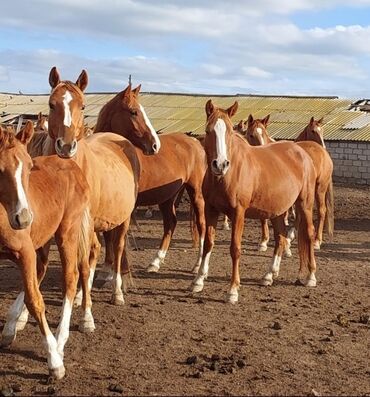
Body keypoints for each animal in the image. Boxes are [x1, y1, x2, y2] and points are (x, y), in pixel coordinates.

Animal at [0, 120, 92, 378]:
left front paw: (54, 361)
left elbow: (36, 301)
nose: (24, 218)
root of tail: (72, 165)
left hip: (66, 233)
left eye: (30, 167)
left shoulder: (25, 252)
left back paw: (60, 342)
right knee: (40, 272)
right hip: (42, 239)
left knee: (71, 277)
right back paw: (11, 326)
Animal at [47, 66, 140, 304]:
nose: (66, 146)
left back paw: (116, 293)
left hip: (122, 220)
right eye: (52, 104)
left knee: (116, 249)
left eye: (82, 106)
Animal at [94, 84, 207, 272]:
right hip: (167, 197)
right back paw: (155, 262)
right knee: (170, 223)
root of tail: (195, 142)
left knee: (201, 224)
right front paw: (108, 267)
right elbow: (107, 235)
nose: (155, 145)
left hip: (195, 192)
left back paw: (198, 266)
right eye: (134, 112)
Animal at [191, 100, 318, 302]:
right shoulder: (210, 209)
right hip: (278, 210)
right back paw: (269, 275)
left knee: (310, 233)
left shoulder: (238, 213)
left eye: (229, 131)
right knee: (280, 237)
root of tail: (302, 153)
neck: (228, 174)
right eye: (208, 130)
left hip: (304, 204)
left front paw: (233, 290)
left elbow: (235, 249)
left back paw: (311, 277)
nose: (220, 164)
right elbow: (209, 244)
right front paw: (198, 281)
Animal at [244, 113, 334, 248]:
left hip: (320, 188)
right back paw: (292, 234)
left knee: (322, 211)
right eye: (251, 135)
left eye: (264, 133)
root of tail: (323, 153)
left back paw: (317, 240)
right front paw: (264, 241)